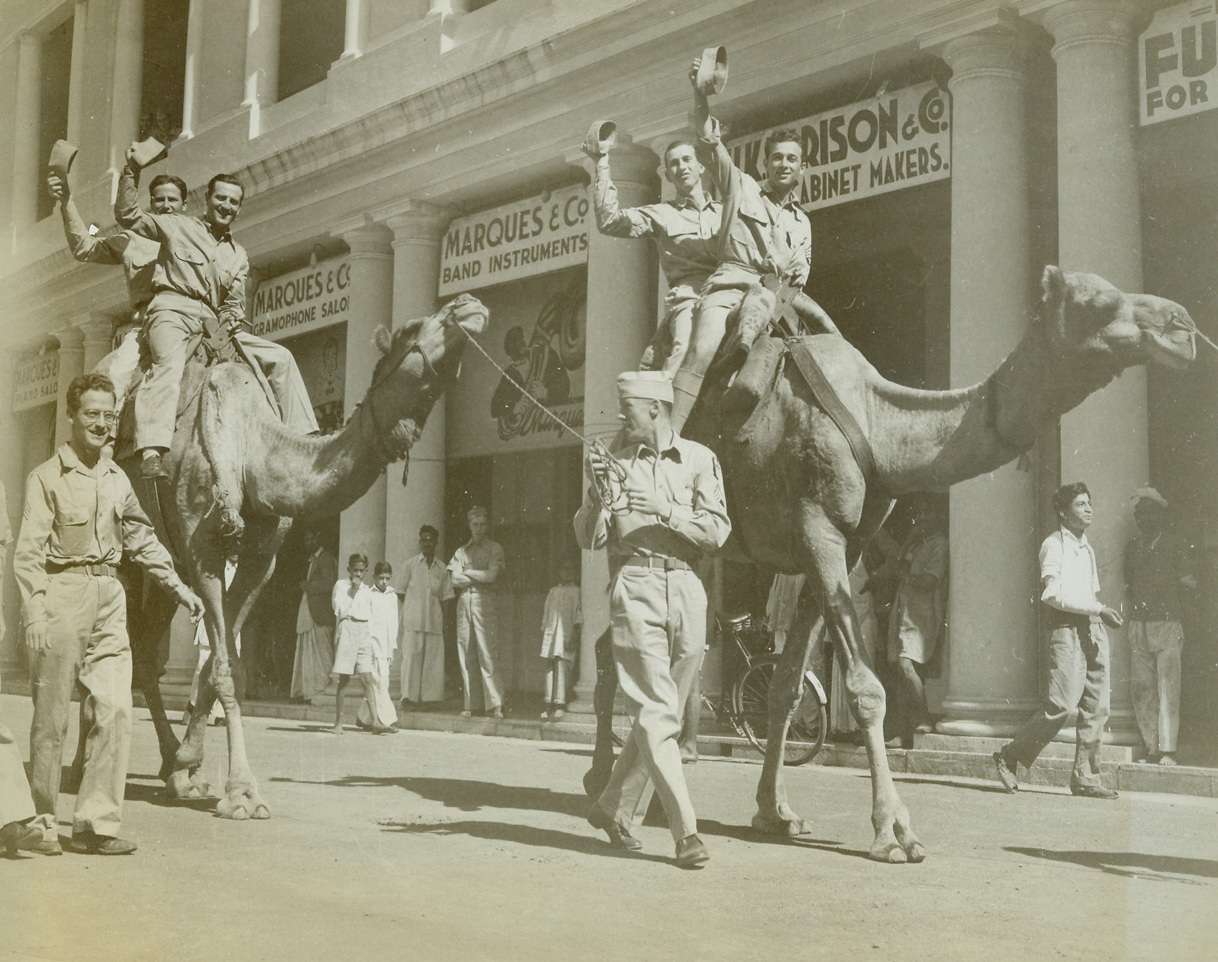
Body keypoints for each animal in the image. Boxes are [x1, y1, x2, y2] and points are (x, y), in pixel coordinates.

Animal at [123, 295, 484, 823]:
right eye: (414, 327)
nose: (468, 303)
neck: (253, 450)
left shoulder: (259, 560)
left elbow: (224, 664)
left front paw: (191, 763)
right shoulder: (201, 551)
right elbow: (224, 667)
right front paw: (242, 793)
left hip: (164, 562)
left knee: (146, 651)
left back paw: (174, 769)